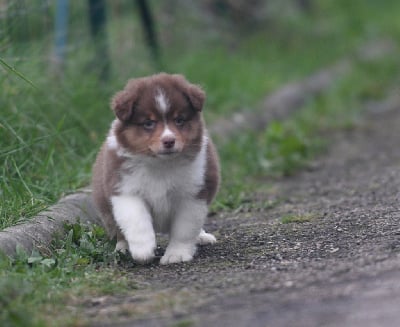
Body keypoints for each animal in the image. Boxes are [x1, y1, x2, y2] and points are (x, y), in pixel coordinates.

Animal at [92, 73, 220, 266]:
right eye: (148, 123)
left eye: (179, 120)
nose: (169, 141)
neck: (160, 164)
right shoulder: (124, 188)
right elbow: (136, 219)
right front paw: (143, 250)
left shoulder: (193, 194)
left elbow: (184, 229)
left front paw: (176, 255)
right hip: (105, 207)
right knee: (119, 231)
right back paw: (123, 248)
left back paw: (202, 237)